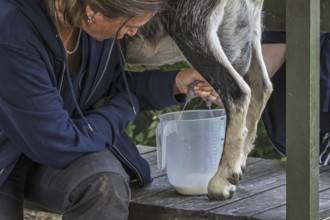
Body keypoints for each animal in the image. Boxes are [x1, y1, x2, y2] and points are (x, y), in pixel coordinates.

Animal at [125, 0, 272, 200]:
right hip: (244, 30)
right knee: (261, 86)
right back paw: (237, 169)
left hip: (191, 26)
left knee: (237, 91)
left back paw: (221, 181)